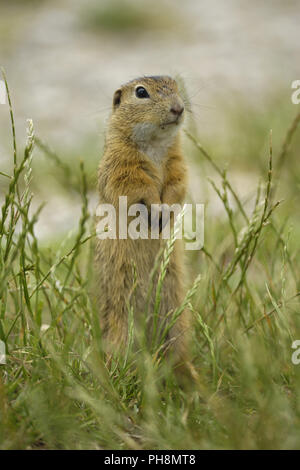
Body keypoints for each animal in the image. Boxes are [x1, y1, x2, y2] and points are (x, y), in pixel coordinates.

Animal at [96, 74, 192, 374]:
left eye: (175, 86)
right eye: (141, 93)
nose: (178, 108)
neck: (155, 145)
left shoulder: (177, 163)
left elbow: (177, 184)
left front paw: (167, 211)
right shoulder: (123, 165)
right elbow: (139, 188)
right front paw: (156, 211)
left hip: (177, 316)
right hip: (121, 323)